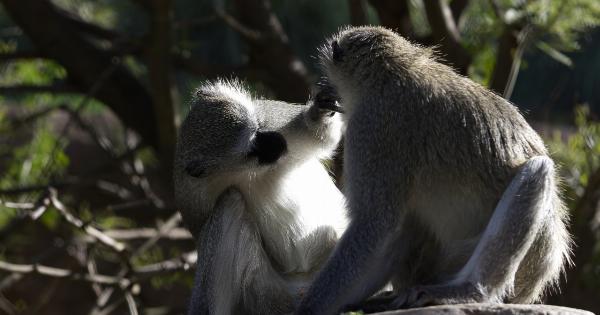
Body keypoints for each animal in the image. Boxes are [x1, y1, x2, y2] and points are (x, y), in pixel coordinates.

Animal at [173, 80, 346, 314]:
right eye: (251, 149)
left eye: (257, 129)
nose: (277, 142)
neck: (241, 171)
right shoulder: (191, 194)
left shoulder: (271, 117)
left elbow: (323, 139)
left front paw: (320, 112)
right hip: (268, 293)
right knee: (229, 202)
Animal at [296, 25, 572, 314]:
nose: (325, 92)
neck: (390, 75)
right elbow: (392, 232)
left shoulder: (372, 130)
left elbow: (374, 224)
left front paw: (311, 306)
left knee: (537, 170)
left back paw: (471, 291)